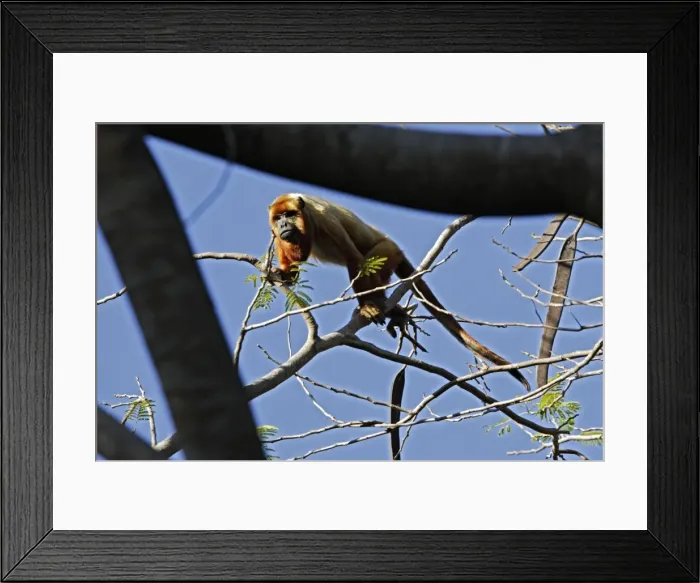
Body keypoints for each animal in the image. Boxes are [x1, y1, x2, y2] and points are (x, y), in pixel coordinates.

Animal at [268, 192, 530, 391]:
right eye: (278, 217)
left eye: (290, 215)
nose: (283, 224)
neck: (306, 219)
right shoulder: (278, 236)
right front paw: (284, 276)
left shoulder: (325, 220)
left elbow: (354, 259)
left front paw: (368, 306)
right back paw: (396, 311)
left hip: (388, 250)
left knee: (366, 261)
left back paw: (375, 306)